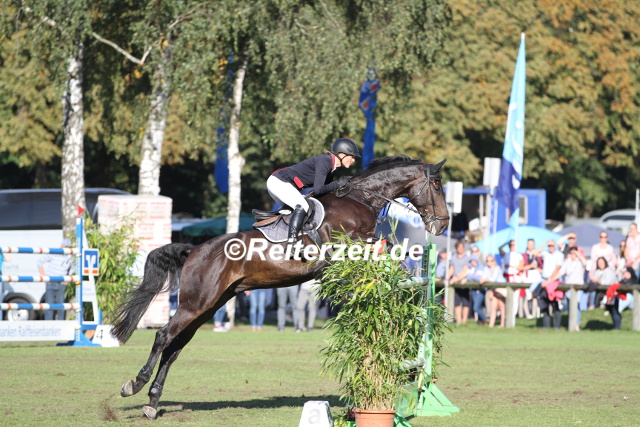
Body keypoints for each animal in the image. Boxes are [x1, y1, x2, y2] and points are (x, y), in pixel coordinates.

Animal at [111, 155, 450, 420]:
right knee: (163, 336)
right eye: (436, 187)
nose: (443, 225)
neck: (360, 199)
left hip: (208, 306)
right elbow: (385, 246)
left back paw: (153, 402)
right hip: (196, 303)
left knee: (175, 348)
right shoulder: (348, 245)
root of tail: (194, 250)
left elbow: (389, 247)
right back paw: (134, 384)